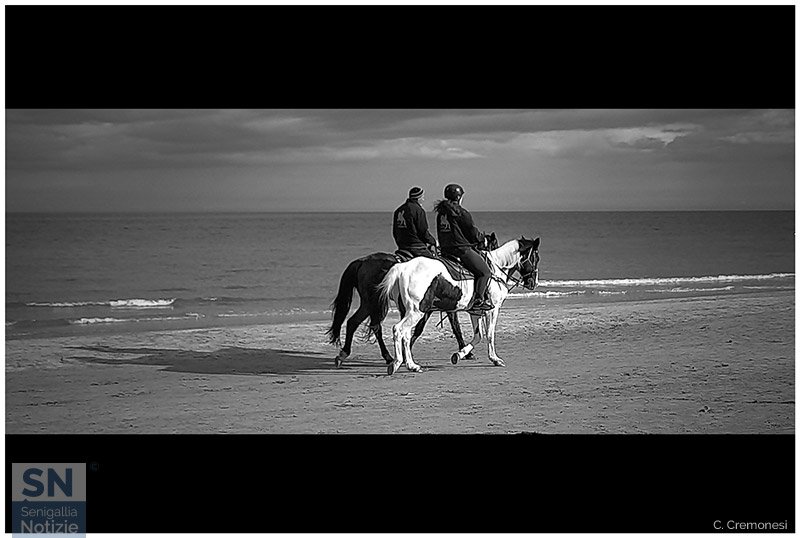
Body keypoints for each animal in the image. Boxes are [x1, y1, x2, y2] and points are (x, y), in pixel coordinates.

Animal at [326, 233, 499, 368]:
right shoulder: (441, 308)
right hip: (375, 303)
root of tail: (362, 261)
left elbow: (421, 329)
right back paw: (387, 357)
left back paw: (346, 354)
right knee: (374, 326)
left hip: (369, 303)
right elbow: (454, 328)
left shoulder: (431, 308)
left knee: (354, 322)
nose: (493, 267)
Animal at [378, 236, 540, 375]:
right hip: (416, 311)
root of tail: (403, 267)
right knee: (398, 329)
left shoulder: (475, 312)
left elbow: (478, 336)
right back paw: (397, 363)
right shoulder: (492, 309)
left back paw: (412, 365)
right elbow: (489, 334)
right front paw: (495, 359)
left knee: (405, 334)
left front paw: (459, 354)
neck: (496, 269)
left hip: (408, 311)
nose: (534, 283)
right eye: (535, 258)